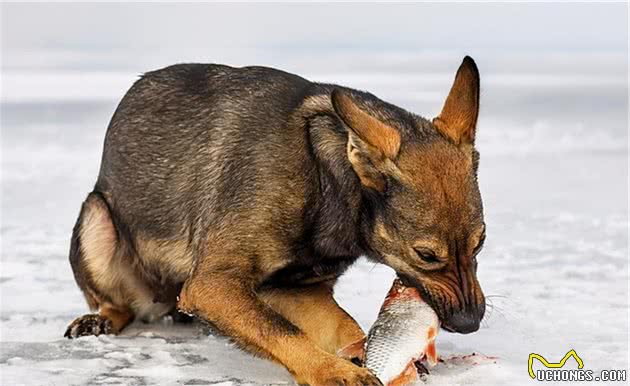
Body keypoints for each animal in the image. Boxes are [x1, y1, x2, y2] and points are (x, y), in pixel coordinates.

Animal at [65, 55, 488, 384]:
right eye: (426, 255)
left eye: (481, 242)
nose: (471, 322)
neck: (324, 177)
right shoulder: (212, 285)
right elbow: (280, 331)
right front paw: (333, 371)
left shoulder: (294, 289)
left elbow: (341, 325)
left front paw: (360, 354)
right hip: (95, 221)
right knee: (119, 304)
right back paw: (97, 321)